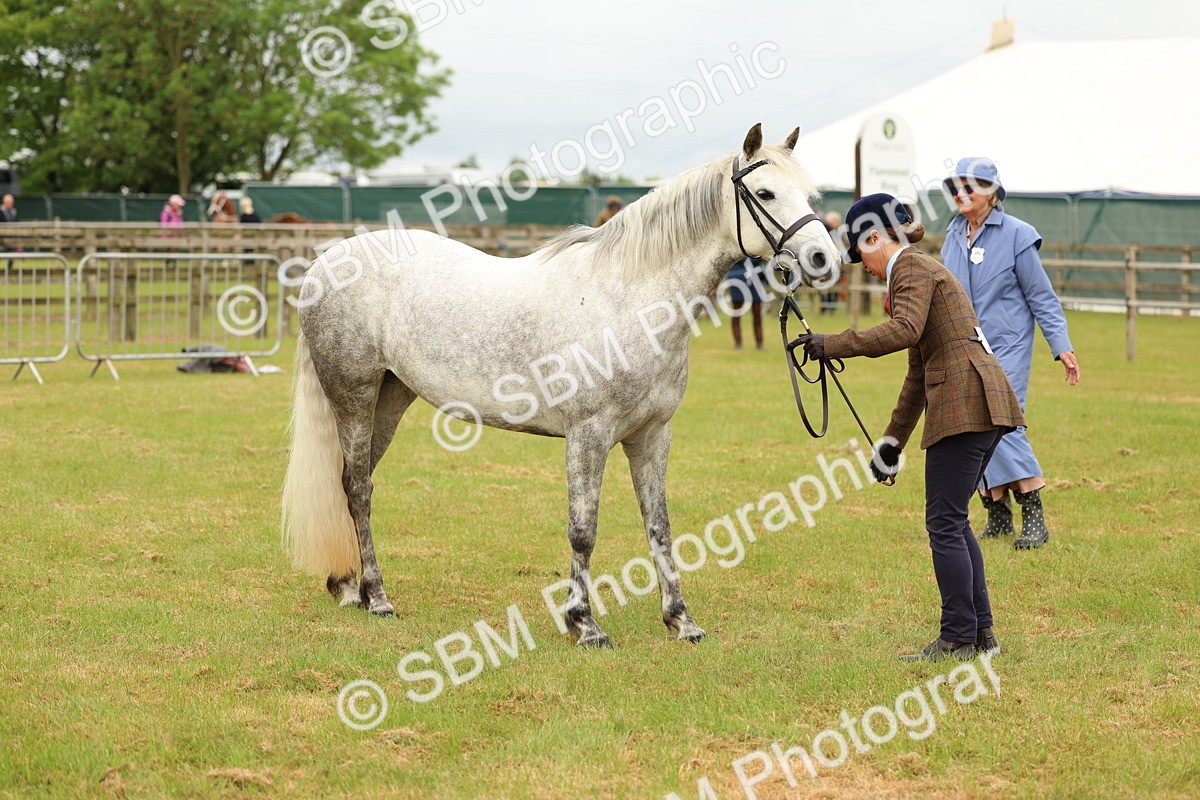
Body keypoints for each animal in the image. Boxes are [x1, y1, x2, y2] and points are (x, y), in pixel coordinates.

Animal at [281, 124, 840, 648]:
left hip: (391, 398)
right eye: (765, 193)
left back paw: (348, 586)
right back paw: (377, 597)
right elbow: (583, 530)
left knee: (350, 482)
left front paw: (681, 620)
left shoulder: (652, 436)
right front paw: (584, 624)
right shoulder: (587, 436)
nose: (823, 260)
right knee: (358, 488)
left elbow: (659, 528)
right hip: (354, 396)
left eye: (810, 195)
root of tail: (326, 261)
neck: (629, 299)